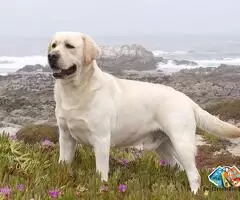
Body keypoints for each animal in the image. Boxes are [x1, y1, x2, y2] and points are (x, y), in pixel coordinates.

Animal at [47, 31, 240, 194]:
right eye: (54, 45)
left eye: (70, 46)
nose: (51, 56)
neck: (75, 91)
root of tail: (187, 99)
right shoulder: (66, 137)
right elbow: (63, 162)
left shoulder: (101, 139)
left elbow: (101, 171)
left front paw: (102, 187)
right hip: (164, 146)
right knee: (178, 167)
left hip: (182, 142)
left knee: (194, 174)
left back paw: (193, 193)